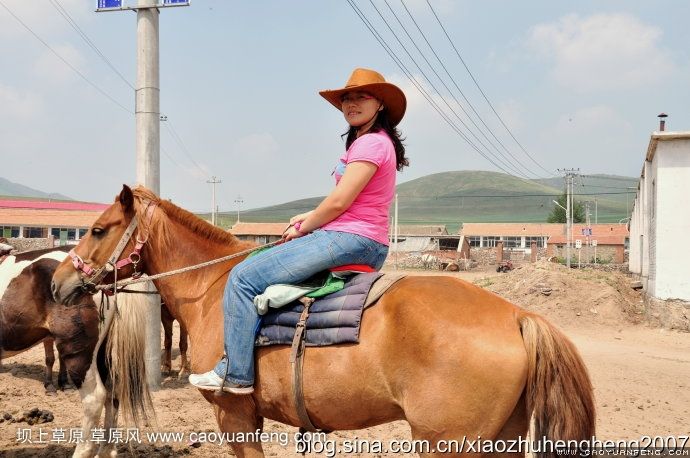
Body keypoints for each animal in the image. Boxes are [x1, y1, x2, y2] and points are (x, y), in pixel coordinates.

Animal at [51, 185, 592, 458]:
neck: (213, 287)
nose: (58, 281)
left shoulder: (235, 417)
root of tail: (519, 315)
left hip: (449, 444)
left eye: (98, 229)